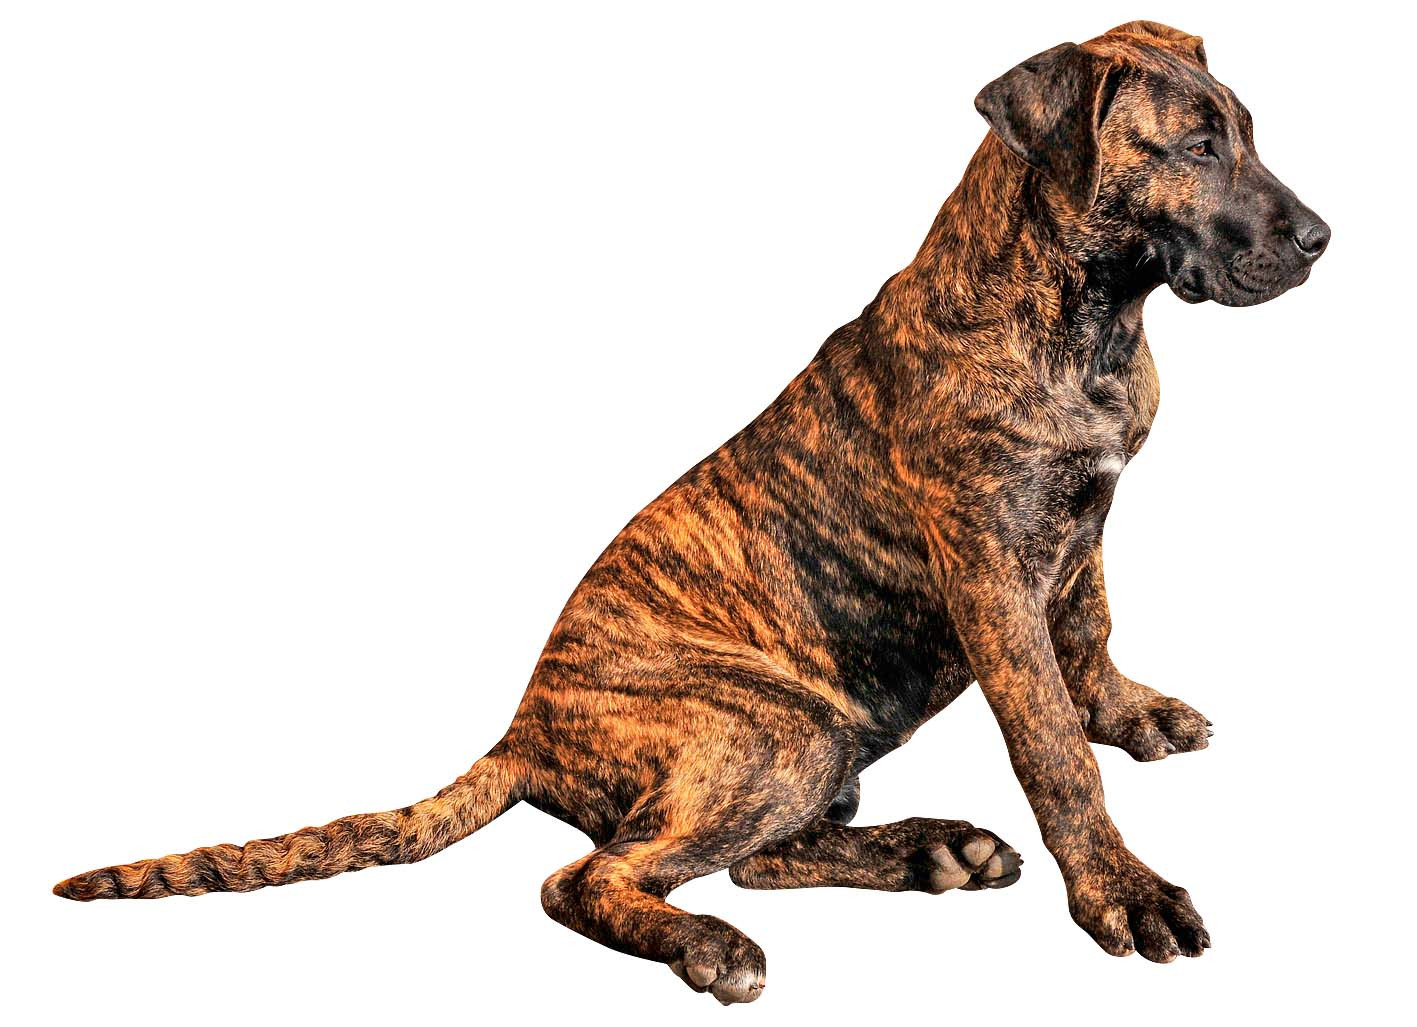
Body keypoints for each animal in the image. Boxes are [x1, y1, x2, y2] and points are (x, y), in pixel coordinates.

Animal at [55, 21, 1329, 1004]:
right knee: (593, 878)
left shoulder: (1084, 518)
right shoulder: (987, 569)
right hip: (772, 729)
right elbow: (1052, 743)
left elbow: (1091, 633)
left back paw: (929, 853)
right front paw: (1123, 888)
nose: (1320, 240)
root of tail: (522, 735)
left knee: (746, 857)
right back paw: (717, 945)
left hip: (804, 748)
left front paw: (1131, 713)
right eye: (1198, 146)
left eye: (1246, 132)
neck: (1085, 313)